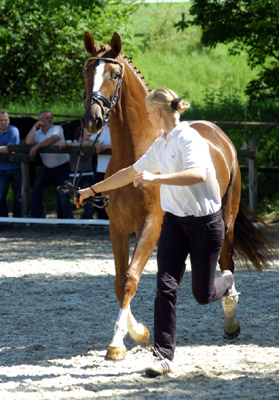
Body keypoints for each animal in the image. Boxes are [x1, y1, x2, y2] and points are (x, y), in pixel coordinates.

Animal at [82, 31, 274, 360]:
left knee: (225, 263)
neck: (135, 153)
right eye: (85, 71)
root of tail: (219, 134)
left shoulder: (149, 226)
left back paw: (230, 321)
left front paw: (117, 343)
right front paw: (140, 332)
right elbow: (121, 281)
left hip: (226, 221)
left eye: (115, 74)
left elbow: (130, 278)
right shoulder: (118, 228)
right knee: (180, 272)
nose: (93, 119)